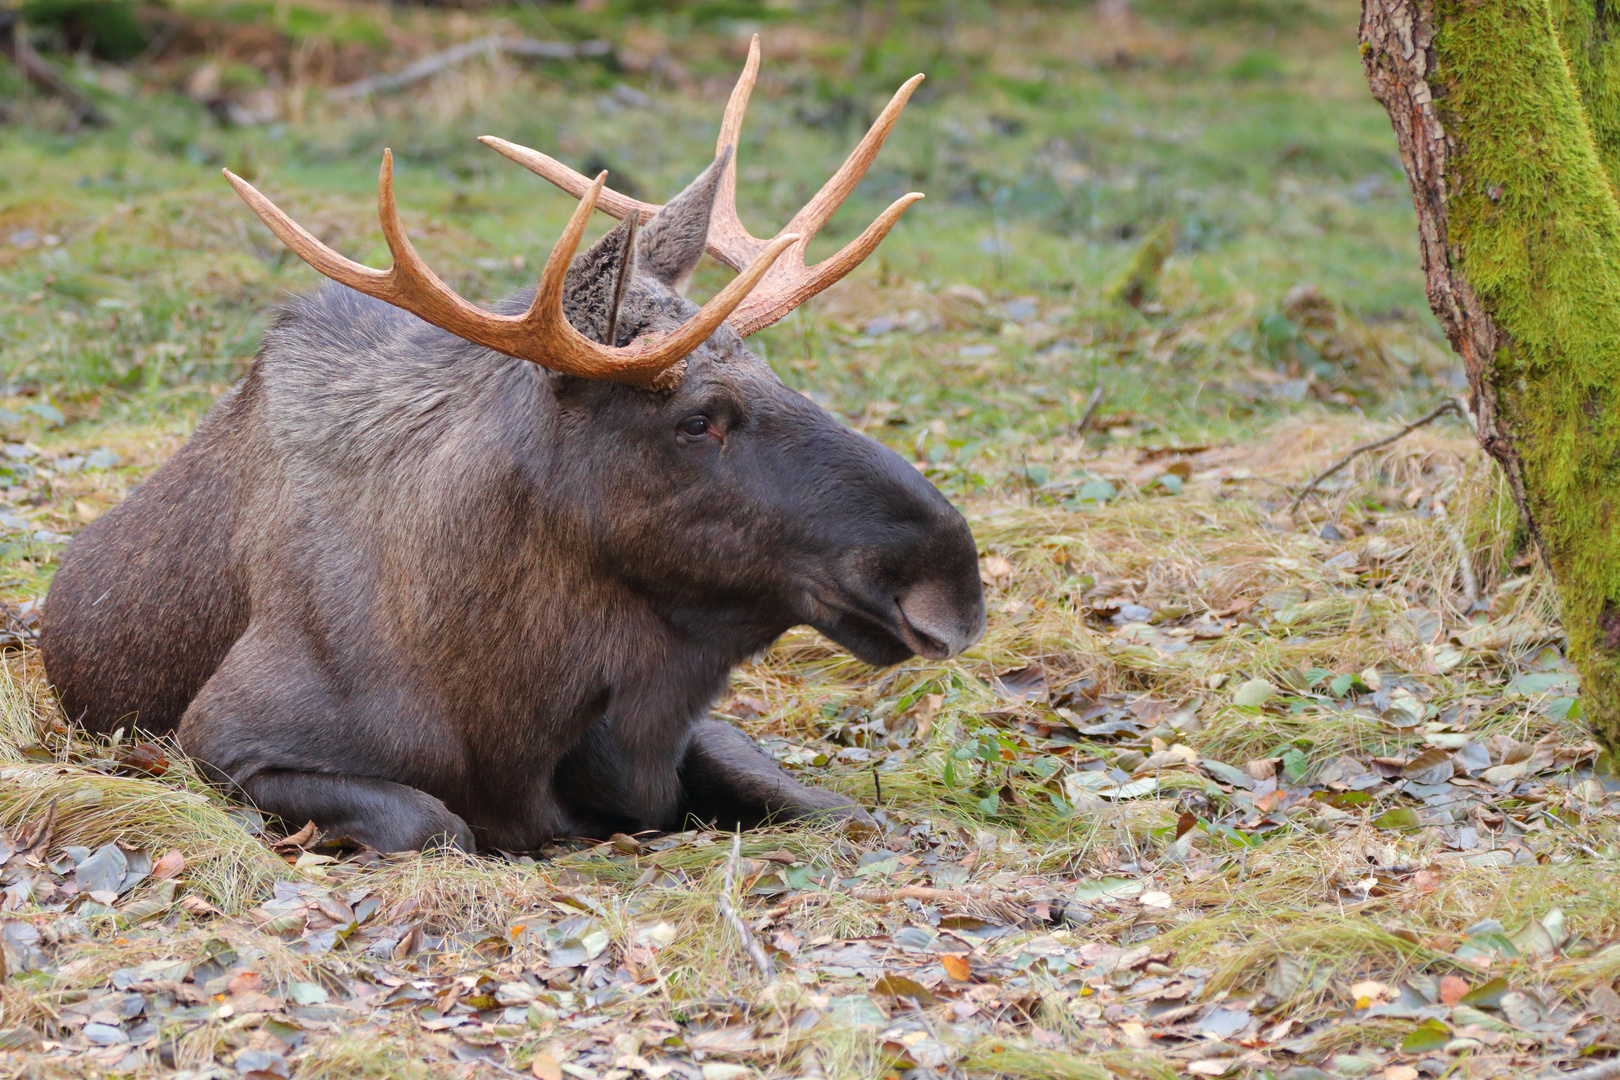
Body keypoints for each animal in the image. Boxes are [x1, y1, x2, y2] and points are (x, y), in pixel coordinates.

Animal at [41, 40, 984, 854]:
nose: (953, 580)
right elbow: (435, 822)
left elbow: (825, 804)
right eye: (695, 419)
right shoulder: (221, 738)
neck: (507, 711)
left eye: (776, 370)